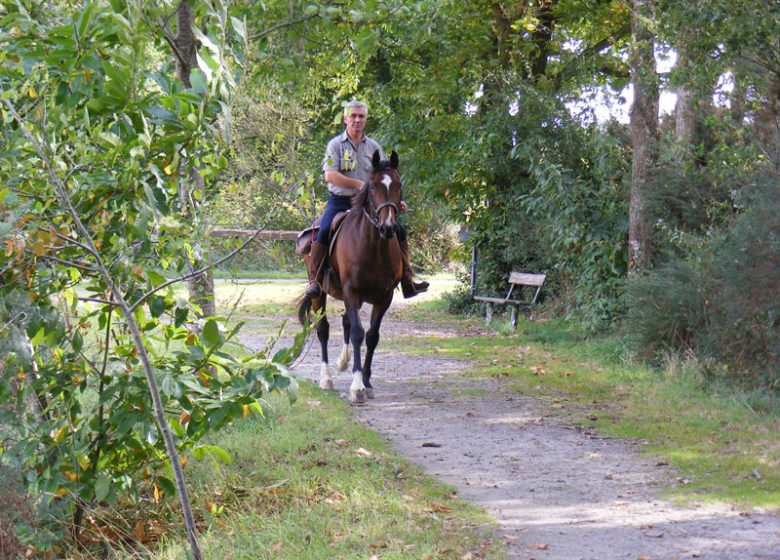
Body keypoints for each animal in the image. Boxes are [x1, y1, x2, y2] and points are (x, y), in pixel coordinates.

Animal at [298, 149, 406, 402]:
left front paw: (367, 381)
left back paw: (343, 361)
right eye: (373, 187)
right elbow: (358, 333)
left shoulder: (384, 297)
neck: (373, 247)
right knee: (324, 329)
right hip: (320, 293)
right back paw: (326, 378)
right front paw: (357, 386)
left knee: (345, 321)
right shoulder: (352, 291)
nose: (388, 227)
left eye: (398, 185)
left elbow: (372, 336)